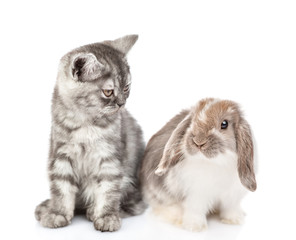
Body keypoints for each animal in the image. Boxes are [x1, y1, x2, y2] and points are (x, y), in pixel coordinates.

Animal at [34, 34, 146, 232]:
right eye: (108, 92)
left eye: (126, 88)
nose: (121, 103)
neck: (86, 122)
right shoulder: (61, 154)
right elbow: (61, 188)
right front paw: (57, 212)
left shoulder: (109, 157)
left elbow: (108, 189)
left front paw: (106, 217)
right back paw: (47, 207)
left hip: (130, 183)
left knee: (131, 203)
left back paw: (96, 210)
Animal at [140, 97, 256, 231]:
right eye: (192, 122)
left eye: (224, 124)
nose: (198, 142)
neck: (216, 163)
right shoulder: (195, 196)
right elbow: (195, 211)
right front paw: (195, 227)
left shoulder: (232, 197)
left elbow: (230, 209)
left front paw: (234, 220)